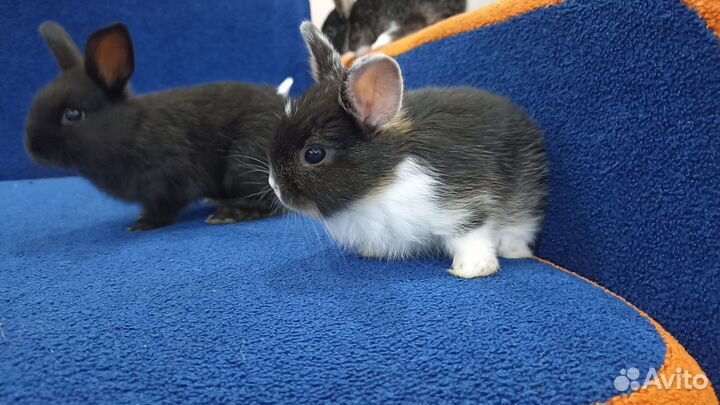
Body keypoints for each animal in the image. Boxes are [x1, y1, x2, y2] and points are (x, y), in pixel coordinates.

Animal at [25, 22, 285, 231]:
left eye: (73, 114)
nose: (33, 149)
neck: (133, 129)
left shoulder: (170, 178)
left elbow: (165, 206)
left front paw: (143, 224)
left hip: (243, 162)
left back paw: (228, 214)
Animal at [268, 22, 548, 278]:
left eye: (314, 154)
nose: (274, 185)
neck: (383, 181)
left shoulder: (464, 202)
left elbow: (470, 235)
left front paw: (473, 269)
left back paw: (513, 250)